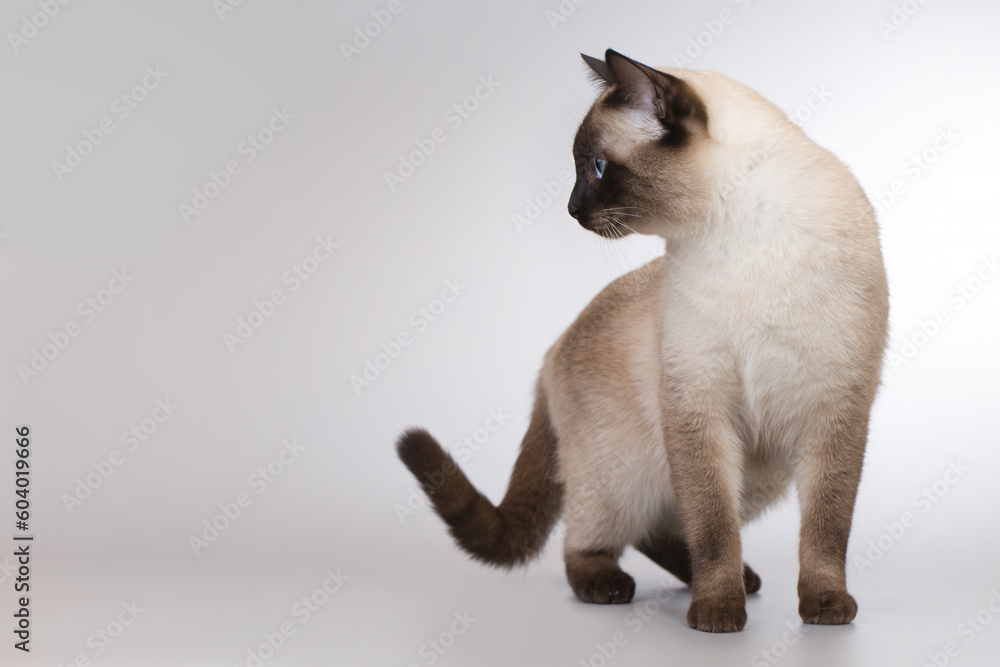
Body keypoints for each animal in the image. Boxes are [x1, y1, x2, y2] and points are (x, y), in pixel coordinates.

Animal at [394, 49, 888, 636]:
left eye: (596, 167)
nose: (570, 208)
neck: (743, 234)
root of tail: (552, 350)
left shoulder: (835, 412)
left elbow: (825, 530)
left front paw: (825, 608)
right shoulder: (696, 408)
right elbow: (712, 526)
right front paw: (717, 615)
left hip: (758, 468)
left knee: (661, 529)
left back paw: (736, 581)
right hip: (625, 472)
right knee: (594, 540)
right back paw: (615, 587)